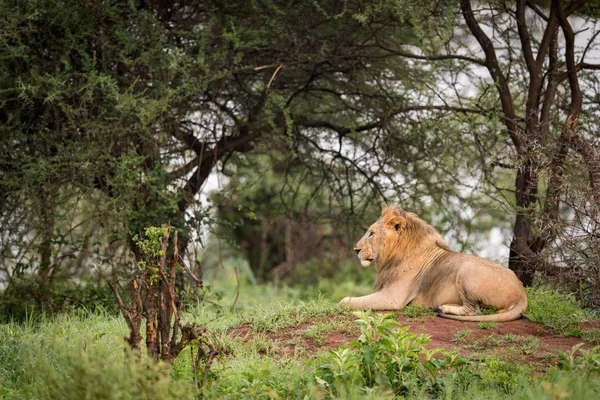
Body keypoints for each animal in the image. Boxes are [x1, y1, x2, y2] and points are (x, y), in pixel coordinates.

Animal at [340, 206, 528, 322]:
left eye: (371, 233)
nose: (355, 249)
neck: (393, 255)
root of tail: (522, 293)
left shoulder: (393, 298)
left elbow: (346, 302)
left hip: (466, 269)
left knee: (473, 309)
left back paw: (445, 308)